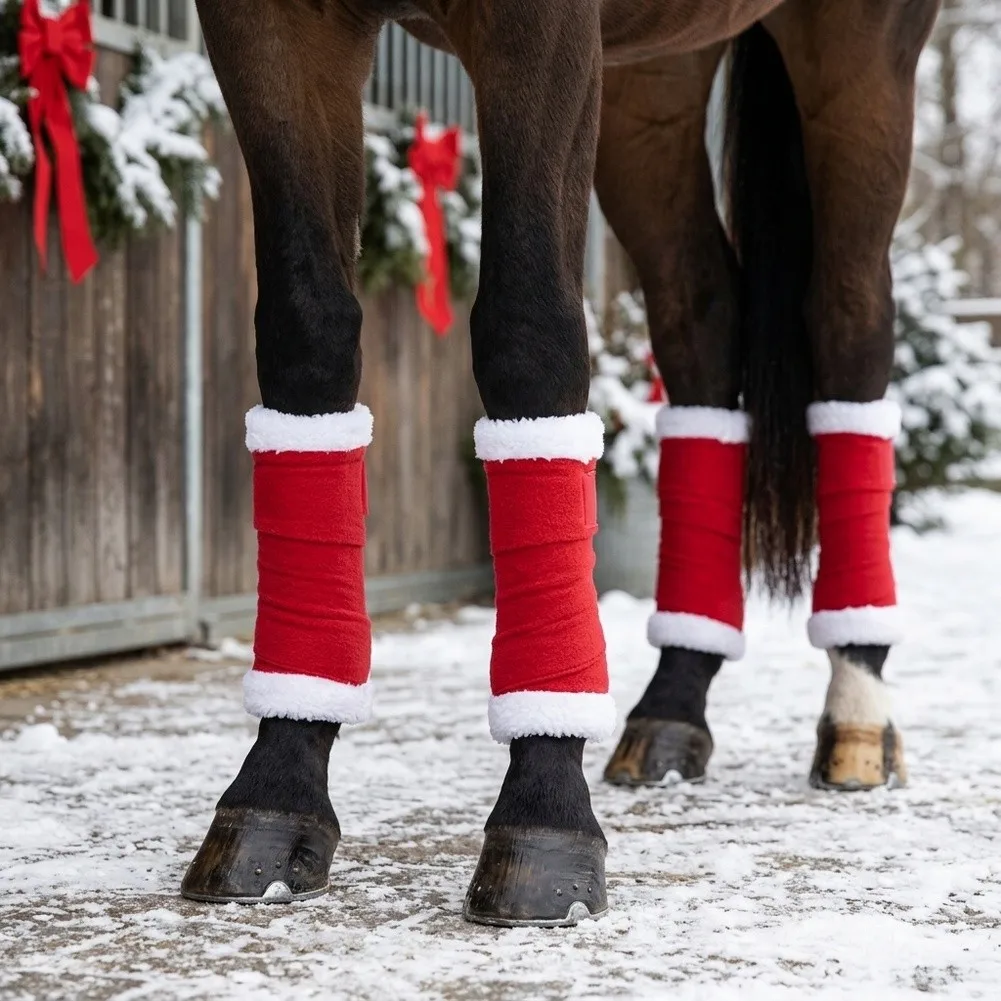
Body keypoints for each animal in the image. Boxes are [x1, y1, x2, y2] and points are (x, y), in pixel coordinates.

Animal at [181, 0, 942, 926]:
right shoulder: (269, 29)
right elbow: (305, 329)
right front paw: (277, 789)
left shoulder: (539, 33)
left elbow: (527, 328)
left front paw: (544, 814)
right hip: (650, 85)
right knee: (701, 320)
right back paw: (671, 704)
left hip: (859, 59)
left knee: (847, 320)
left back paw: (857, 706)